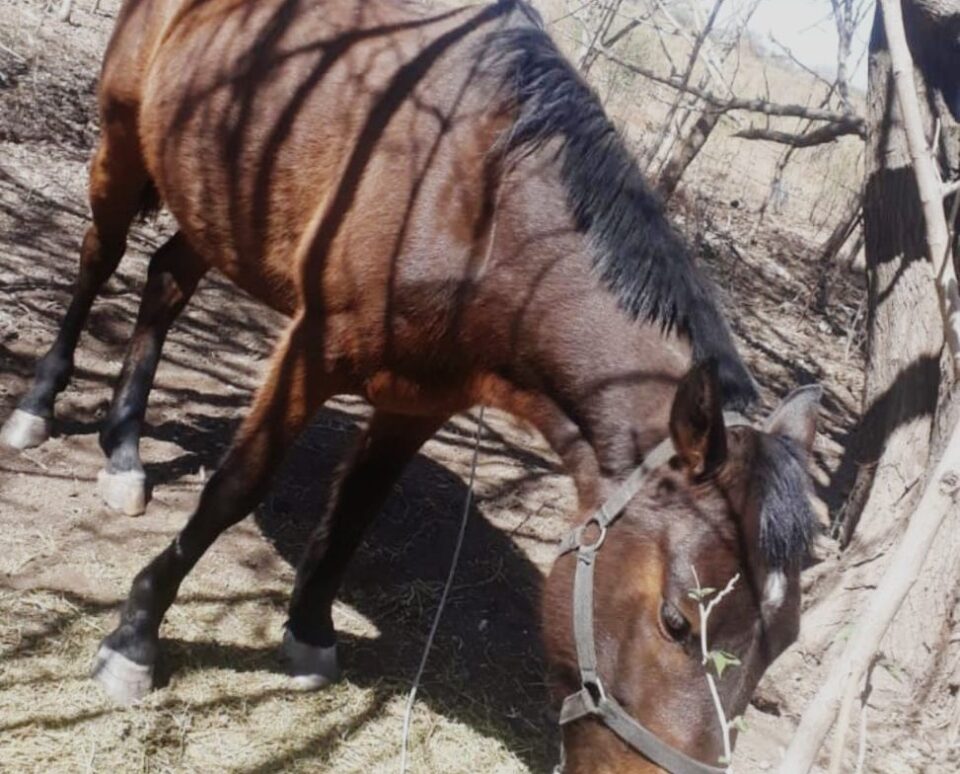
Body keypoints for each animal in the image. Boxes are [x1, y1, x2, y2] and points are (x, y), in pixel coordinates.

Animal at [2, 0, 820, 770]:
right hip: (123, 144)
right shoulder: (314, 347)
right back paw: (38, 409)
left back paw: (124, 449)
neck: (485, 210)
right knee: (98, 259)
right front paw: (136, 636)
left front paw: (308, 630)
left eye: (781, 642)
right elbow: (238, 485)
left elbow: (358, 512)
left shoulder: (421, 399)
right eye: (678, 621)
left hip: (217, 195)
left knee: (166, 282)